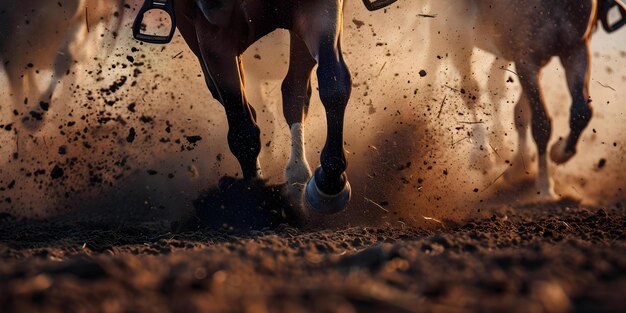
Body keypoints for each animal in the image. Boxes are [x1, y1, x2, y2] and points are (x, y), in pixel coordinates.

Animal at [133, 0, 394, 212]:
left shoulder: (319, 9)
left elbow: (333, 83)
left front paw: (329, 184)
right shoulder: (213, 32)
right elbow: (242, 127)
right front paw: (254, 194)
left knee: (294, 91)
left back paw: (298, 176)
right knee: (232, 101)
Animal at [420, 0, 624, 197]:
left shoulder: (575, 48)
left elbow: (581, 112)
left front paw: (556, 153)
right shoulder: (526, 58)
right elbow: (541, 124)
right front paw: (545, 186)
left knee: (495, 88)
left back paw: (503, 147)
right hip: (455, 34)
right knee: (463, 86)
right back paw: (481, 153)